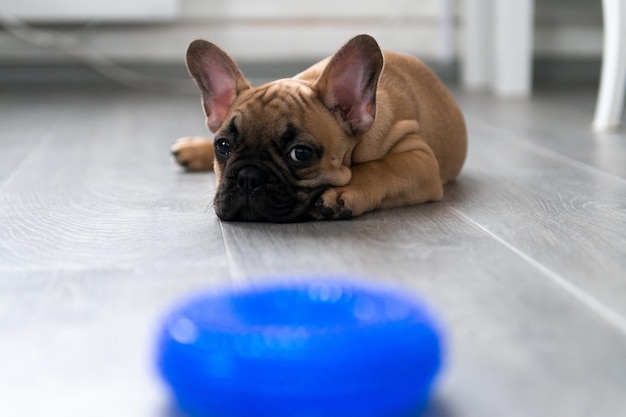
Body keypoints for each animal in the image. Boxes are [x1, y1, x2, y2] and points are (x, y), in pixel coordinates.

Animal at [171, 33, 464, 221]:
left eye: (300, 154)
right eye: (223, 146)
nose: (248, 177)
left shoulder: (420, 157)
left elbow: (381, 166)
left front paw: (342, 191)